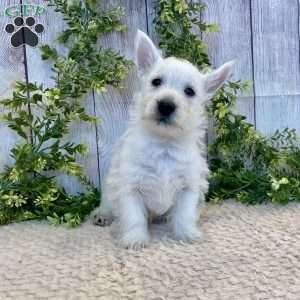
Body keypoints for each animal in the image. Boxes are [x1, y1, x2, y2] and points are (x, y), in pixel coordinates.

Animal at [92, 29, 233, 248]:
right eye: (156, 82)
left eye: (189, 91)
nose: (166, 105)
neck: (164, 144)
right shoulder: (130, 188)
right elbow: (134, 217)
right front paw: (135, 239)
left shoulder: (188, 187)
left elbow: (184, 214)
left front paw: (187, 234)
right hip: (109, 190)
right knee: (107, 205)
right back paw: (102, 216)